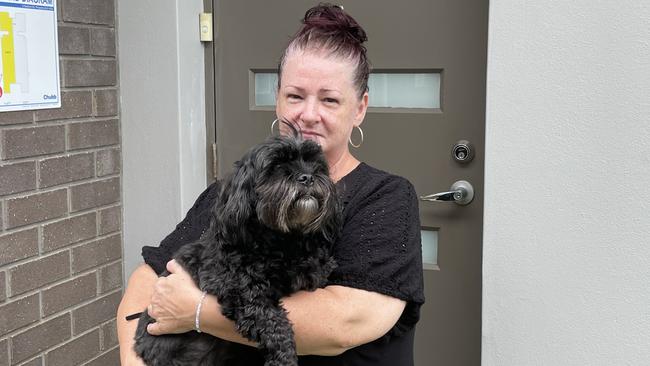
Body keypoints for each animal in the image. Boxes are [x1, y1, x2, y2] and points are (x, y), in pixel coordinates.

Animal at [135, 126, 342, 366]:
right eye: (276, 166)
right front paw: (284, 359)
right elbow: (274, 324)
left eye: (315, 165)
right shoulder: (241, 292)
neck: (281, 242)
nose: (308, 177)